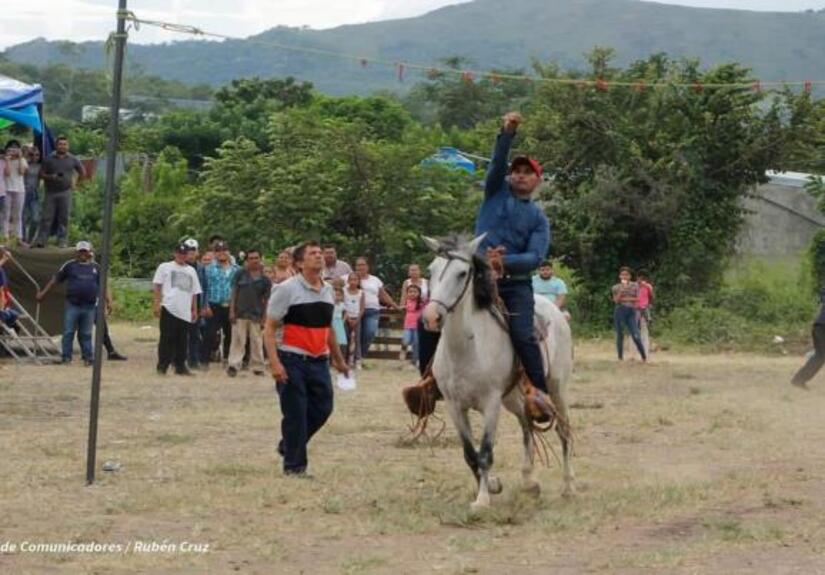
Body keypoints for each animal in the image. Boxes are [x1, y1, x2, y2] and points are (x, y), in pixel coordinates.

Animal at [421, 234, 575, 510]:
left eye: (462, 273)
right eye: (431, 270)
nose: (431, 317)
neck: (468, 348)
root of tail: (555, 311)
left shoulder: (491, 403)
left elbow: (485, 452)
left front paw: (482, 500)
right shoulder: (454, 405)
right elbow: (470, 454)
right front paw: (491, 486)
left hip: (557, 388)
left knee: (563, 430)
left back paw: (568, 486)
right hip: (513, 397)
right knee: (526, 423)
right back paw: (529, 482)